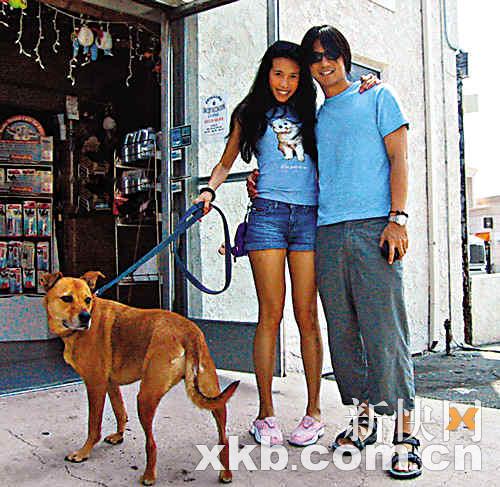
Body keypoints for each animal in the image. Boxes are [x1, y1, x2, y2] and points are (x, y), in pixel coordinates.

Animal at [41, 271, 239, 486]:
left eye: (87, 300)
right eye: (67, 298)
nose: (86, 317)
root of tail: (189, 331)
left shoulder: (95, 385)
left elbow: (93, 425)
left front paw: (83, 453)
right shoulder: (110, 384)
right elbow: (120, 412)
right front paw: (118, 436)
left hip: (145, 398)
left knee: (151, 444)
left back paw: (149, 476)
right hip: (214, 396)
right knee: (224, 439)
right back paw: (226, 474)